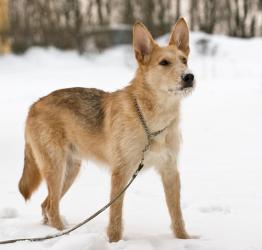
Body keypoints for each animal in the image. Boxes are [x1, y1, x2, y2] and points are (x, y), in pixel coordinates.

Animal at [17, 18, 194, 242]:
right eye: (164, 63)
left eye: (184, 60)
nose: (189, 77)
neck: (152, 121)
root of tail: (34, 105)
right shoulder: (121, 173)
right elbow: (116, 216)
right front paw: (114, 241)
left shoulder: (170, 170)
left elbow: (176, 214)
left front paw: (184, 240)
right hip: (56, 168)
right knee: (51, 207)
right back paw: (62, 234)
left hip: (70, 170)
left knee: (46, 204)